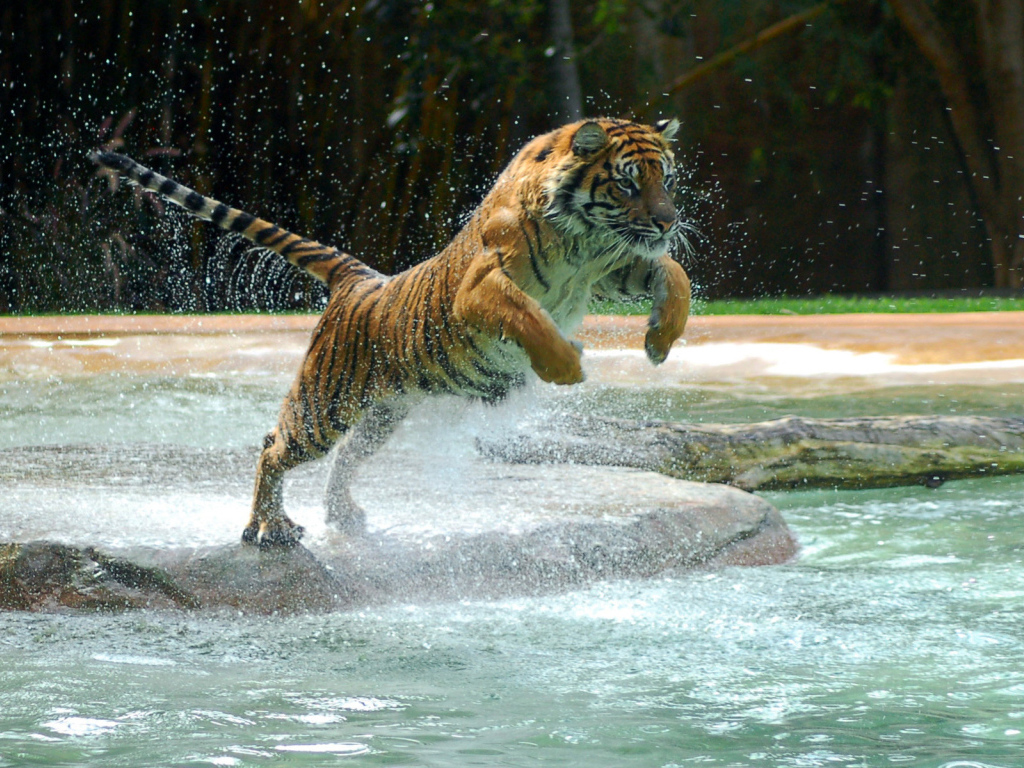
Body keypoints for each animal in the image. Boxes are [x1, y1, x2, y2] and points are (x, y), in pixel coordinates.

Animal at [92, 117, 692, 548]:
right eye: (627, 182)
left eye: (666, 179)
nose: (668, 222)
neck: (584, 240)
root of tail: (359, 279)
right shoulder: (481, 288)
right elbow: (529, 317)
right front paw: (567, 365)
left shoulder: (615, 267)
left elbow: (674, 273)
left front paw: (659, 340)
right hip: (325, 404)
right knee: (273, 447)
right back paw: (269, 529)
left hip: (383, 412)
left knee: (345, 458)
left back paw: (343, 518)